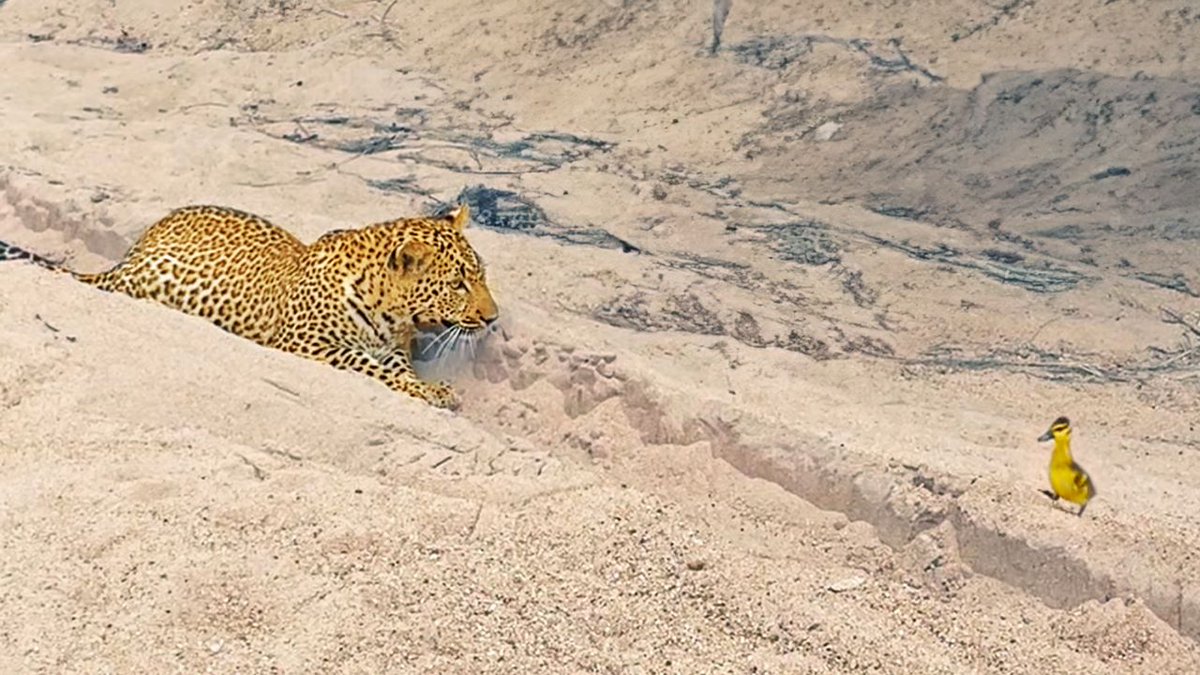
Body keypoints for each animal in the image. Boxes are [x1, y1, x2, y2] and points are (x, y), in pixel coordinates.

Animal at [0, 203, 499, 409]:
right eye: (458, 284)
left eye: (482, 274)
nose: (492, 318)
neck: (389, 312)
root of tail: (129, 255)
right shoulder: (305, 344)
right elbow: (364, 365)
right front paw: (431, 392)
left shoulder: (394, 348)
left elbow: (395, 370)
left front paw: (430, 389)